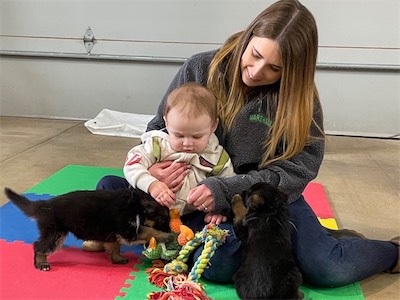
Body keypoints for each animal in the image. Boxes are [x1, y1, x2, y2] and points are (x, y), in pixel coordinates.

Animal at [4, 186, 170, 270]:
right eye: (162, 219)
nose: (171, 231)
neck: (136, 207)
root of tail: (44, 205)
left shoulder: (116, 233)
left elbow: (115, 247)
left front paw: (116, 258)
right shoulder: (129, 231)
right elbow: (149, 230)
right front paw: (165, 236)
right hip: (55, 235)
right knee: (38, 246)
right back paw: (41, 263)